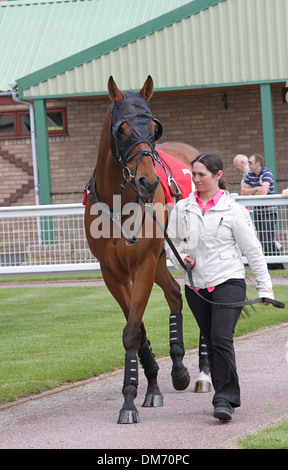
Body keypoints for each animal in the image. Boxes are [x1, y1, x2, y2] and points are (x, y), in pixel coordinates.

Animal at [85, 76, 209, 422]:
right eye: (121, 129)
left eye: (154, 127)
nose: (148, 182)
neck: (119, 201)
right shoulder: (113, 272)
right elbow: (136, 328)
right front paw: (150, 383)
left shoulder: (142, 264)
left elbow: (131, 330)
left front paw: (129, 399)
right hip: (160, 260)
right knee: (174, 294)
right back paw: (179, 367)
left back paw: (203, 372)